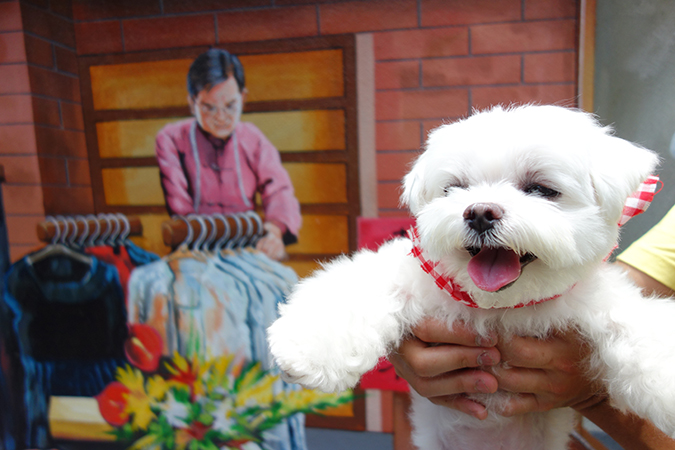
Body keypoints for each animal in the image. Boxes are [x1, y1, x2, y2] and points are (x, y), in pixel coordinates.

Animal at [266, 105, 672, 450]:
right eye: (455, 188)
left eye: (541, 189)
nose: (479, 212)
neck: (497, 307)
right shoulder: (412, 277)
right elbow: (357, 290)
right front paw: (309, 351)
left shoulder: (592, 301)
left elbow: (636, 325)